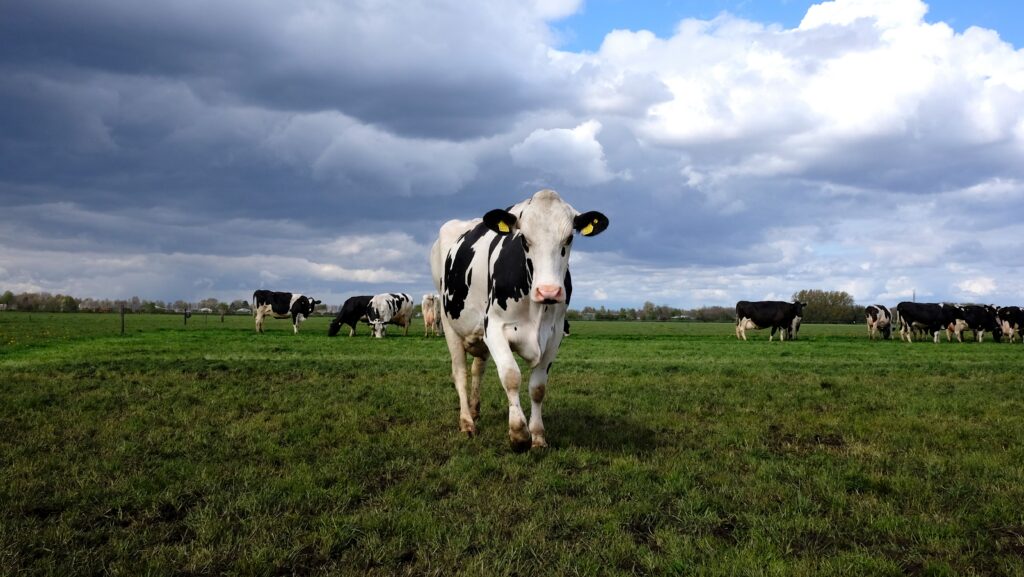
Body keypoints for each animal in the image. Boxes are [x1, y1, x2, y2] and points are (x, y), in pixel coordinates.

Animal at [430, 189, 608, 451]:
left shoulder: (554, 335)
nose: (548, 291)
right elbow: (511, 376)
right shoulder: (494, 328)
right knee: (460, 373)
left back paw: (474, 409)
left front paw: (538, 435)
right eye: (524, 239)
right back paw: (466, 422)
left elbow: (538, 388)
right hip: (449, 322)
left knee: (477, 369)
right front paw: (518, 433)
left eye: (568, 239)